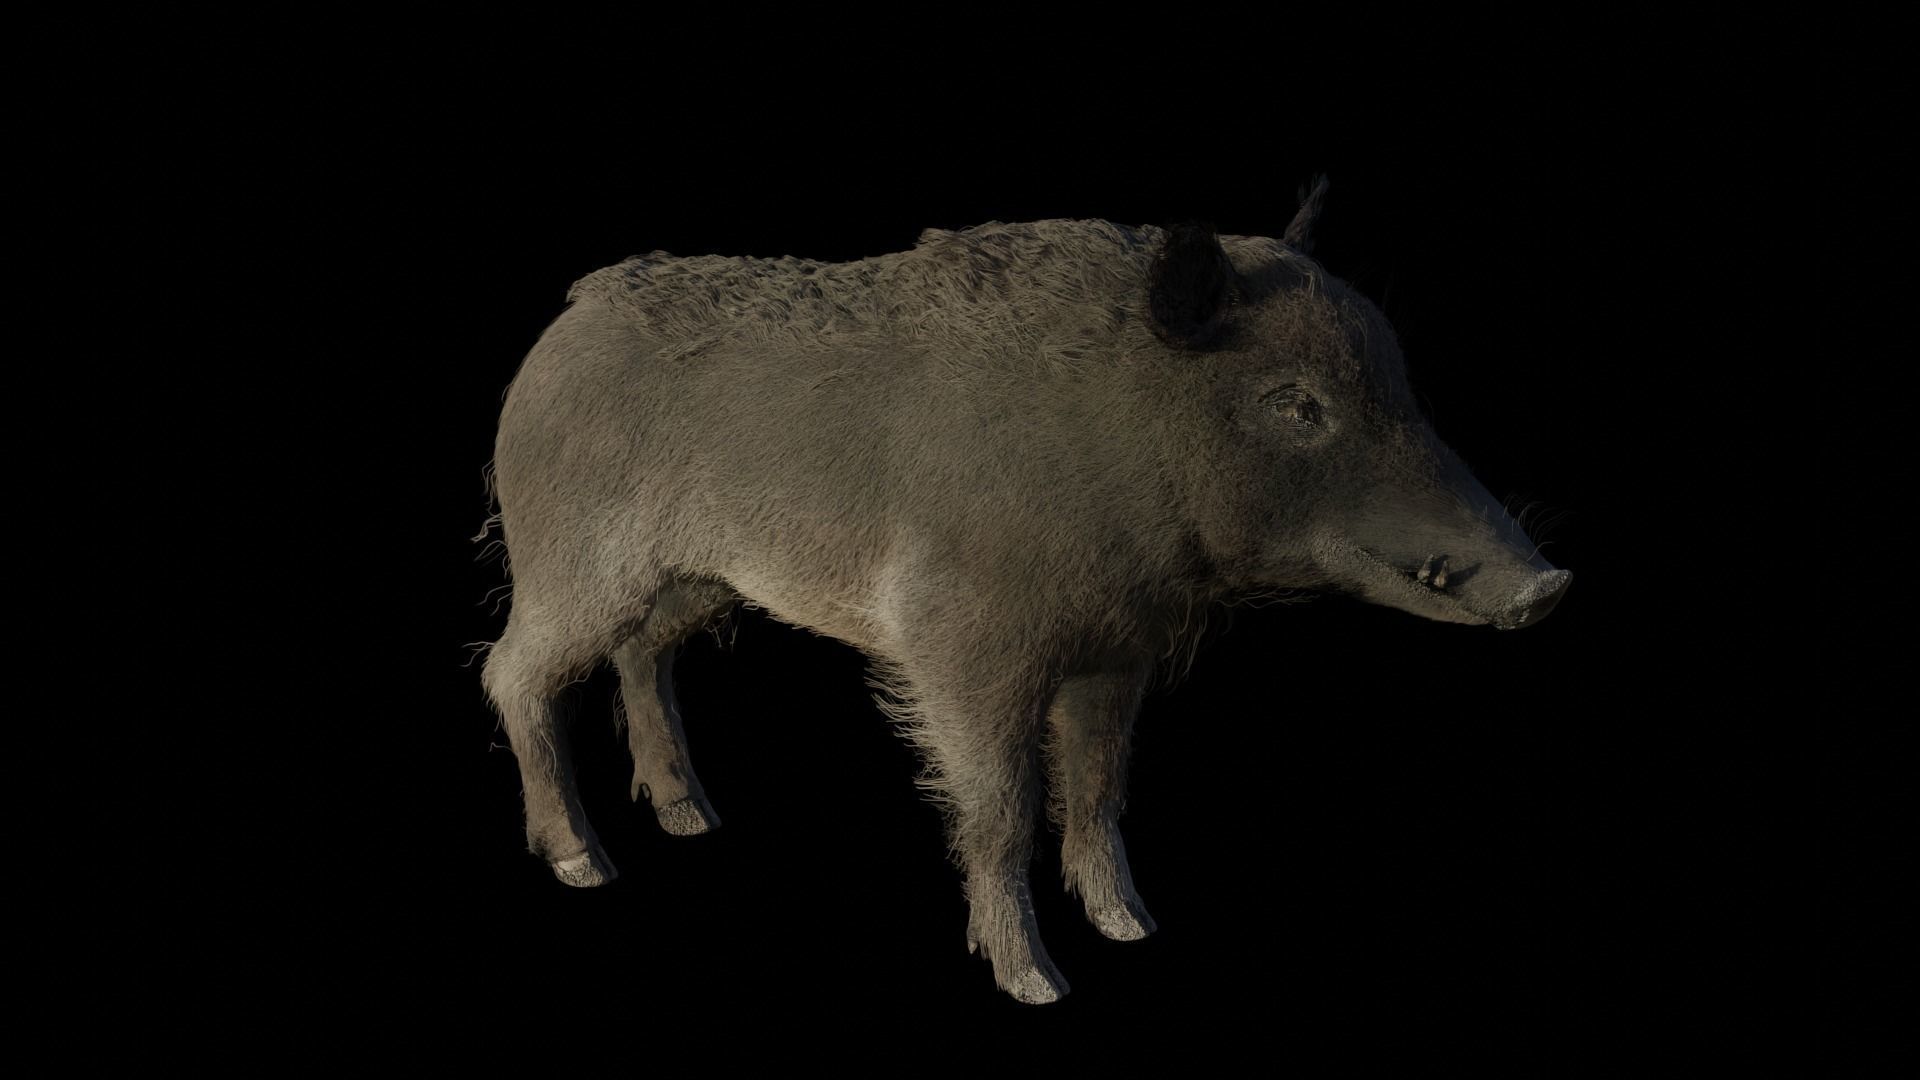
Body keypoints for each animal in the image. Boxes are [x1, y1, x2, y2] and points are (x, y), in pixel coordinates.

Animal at [475, 179, 1572, 1004]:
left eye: (1401, 388)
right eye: (1296, 406)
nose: (1551, 584)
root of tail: (563, 326)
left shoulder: (1115, 652)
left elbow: (1097, 786)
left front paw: (1133, 929)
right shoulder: (958, 645)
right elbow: (1003, 804)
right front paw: (1038, 984)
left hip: (690, 583)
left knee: (642, 660)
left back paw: (691, 820)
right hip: (572, 560)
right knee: (513, 673)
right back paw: (582, 863)